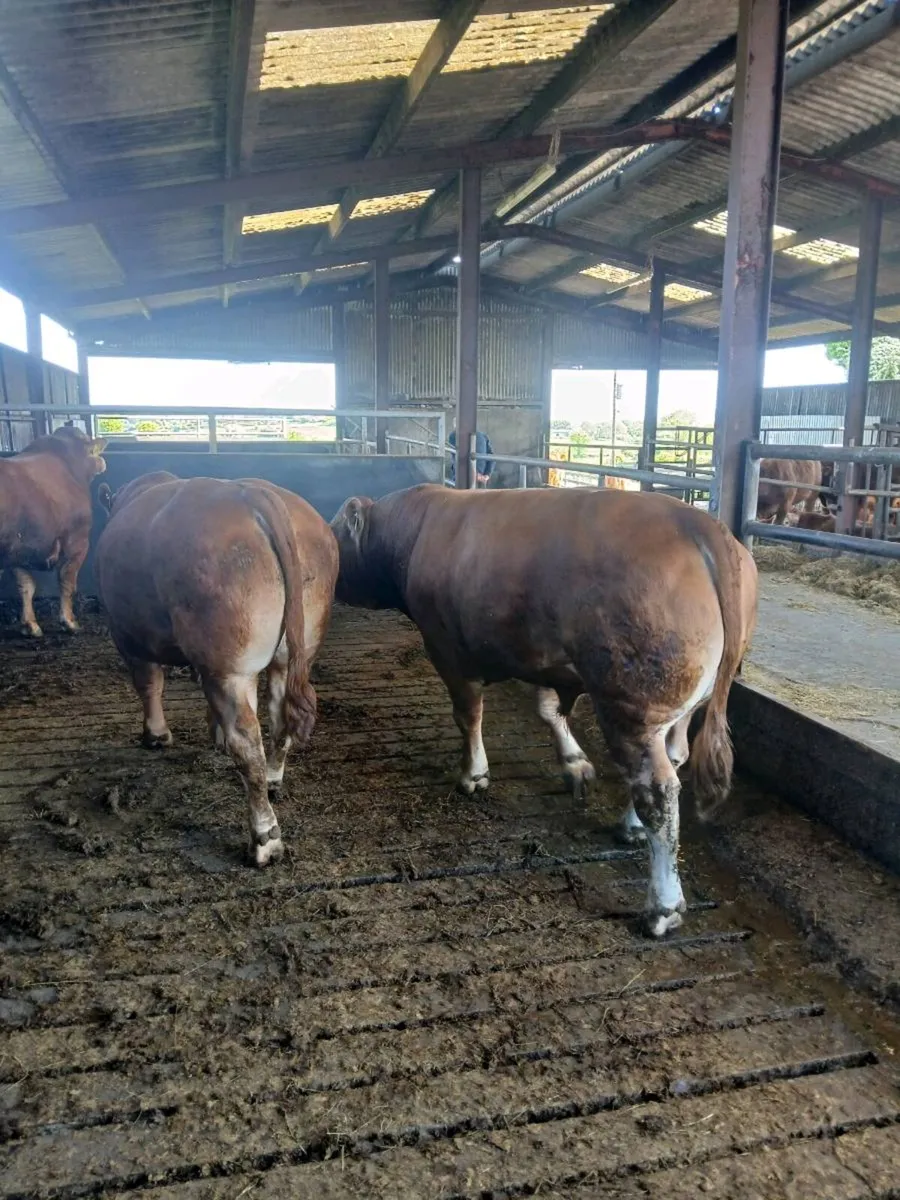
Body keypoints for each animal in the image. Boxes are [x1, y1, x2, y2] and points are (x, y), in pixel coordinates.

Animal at [0, 426, 107, 637]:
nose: (103, 462)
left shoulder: (18, 549)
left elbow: (25, 585)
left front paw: (30, 624)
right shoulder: (77, 541)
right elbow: (67, 582)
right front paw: (69, 621)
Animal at [96, 473, 338, 866]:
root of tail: (252, 492)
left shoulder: (129, 636)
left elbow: (149, 683)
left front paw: (156, 735)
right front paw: (215, 736)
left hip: (229, 669)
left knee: (249, 744)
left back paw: (264, 840)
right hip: (290, 652)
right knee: (279, 718)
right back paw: (274, 779)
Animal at [331, 485, 757, 938]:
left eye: (335, 531)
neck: (416, 531)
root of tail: (700, 523)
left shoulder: (447, 649)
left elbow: (468, 714)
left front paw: (473, 774)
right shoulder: (540, 657)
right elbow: (548, 711)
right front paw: (574, 764)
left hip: (631, 706)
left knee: (656, 791)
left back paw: (662, 905)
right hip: (679, 709)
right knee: (672, 760)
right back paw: (631, 827)